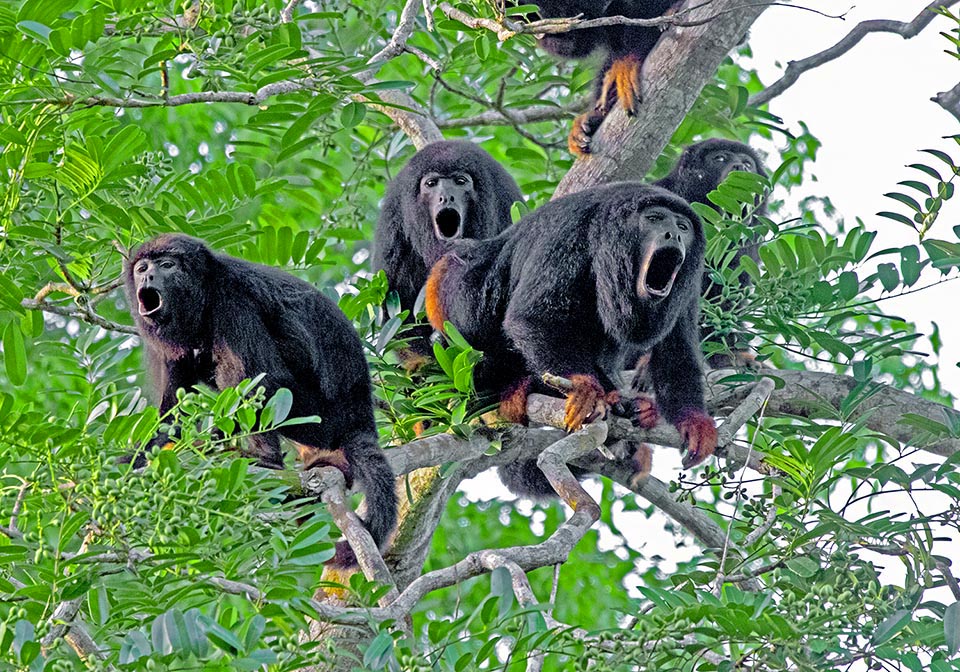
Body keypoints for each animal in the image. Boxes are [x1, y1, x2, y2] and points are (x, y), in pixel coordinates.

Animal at [126, 234, 398, 564]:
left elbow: (262, 378)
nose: (148, 277)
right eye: (142, 268)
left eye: (167, 266)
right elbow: (172, 409)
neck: (204, 293)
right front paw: (138, 458)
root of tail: (361, 416)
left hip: (319, 416)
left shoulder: (232, 300)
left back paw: (265, 459)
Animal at [376, 140, 524, 370]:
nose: (446, 196)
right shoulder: (393, 221)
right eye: (431, 183)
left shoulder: (506, 202)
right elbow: (397, 308)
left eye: (460, 181)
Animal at [424, 181, 716, 496]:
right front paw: (584, 388)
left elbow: (678, 352)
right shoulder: (570, 229)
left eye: (683, 226)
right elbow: (530, 317)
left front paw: (695, 422)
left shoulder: (690, 279)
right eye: (655, 219)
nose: (673, 234)